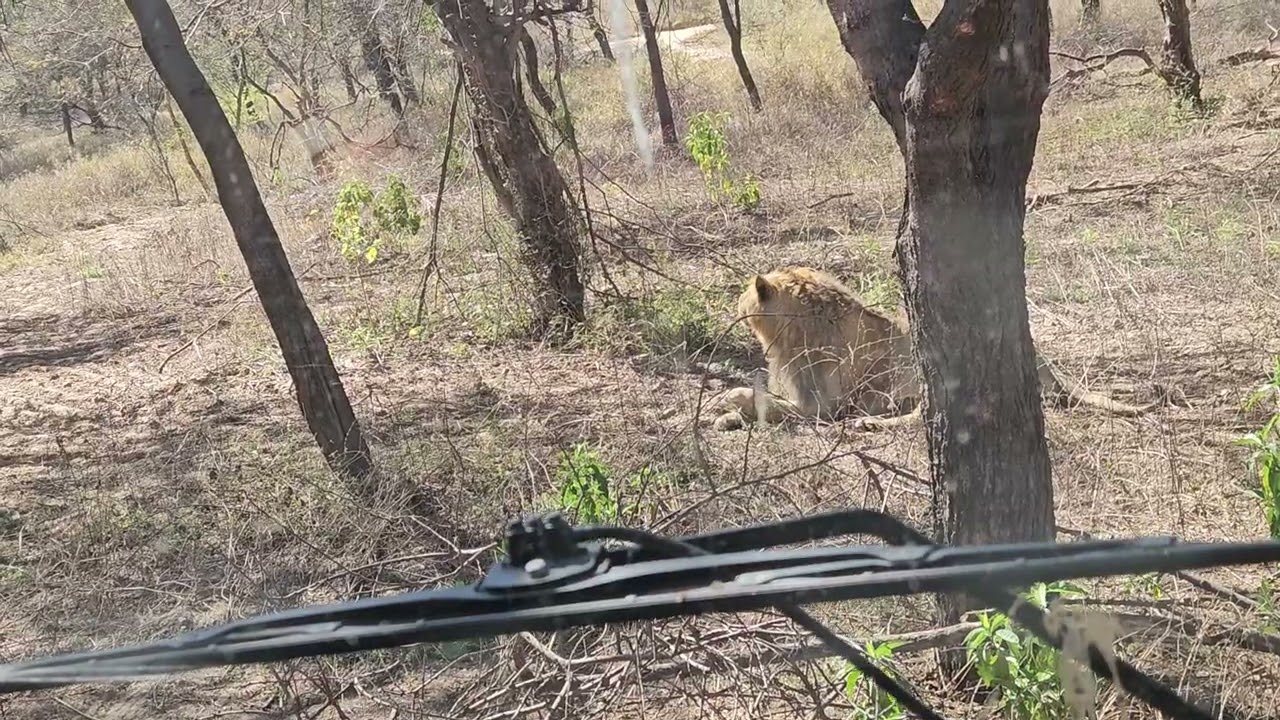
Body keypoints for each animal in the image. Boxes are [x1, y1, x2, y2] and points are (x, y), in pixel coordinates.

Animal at [713, 266, 1161, 432]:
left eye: (742, 299)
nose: (733, 307)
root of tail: (1043, 360)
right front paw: (725, 410)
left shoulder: (819, 406)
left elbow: (764, 401)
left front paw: (727, 408)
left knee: (920, 418)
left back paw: (870, 423)